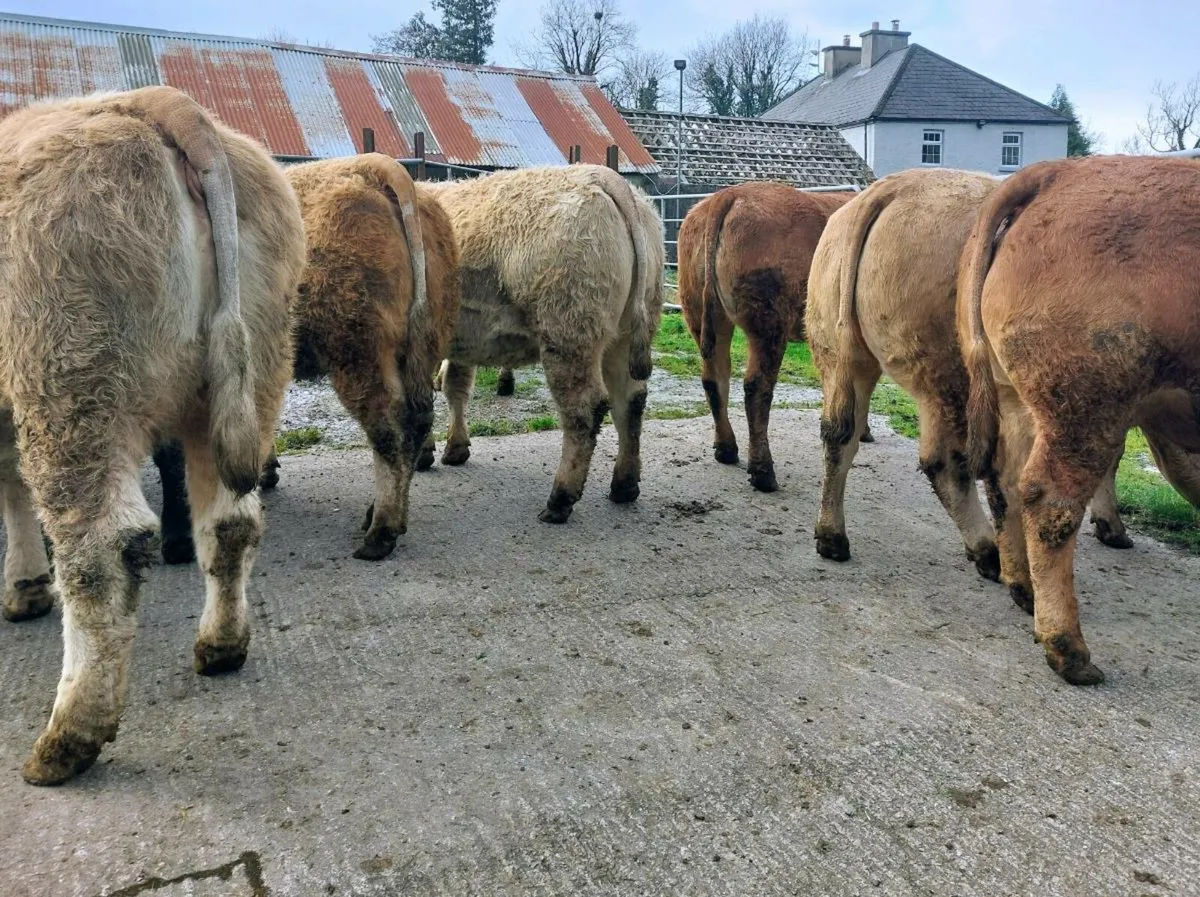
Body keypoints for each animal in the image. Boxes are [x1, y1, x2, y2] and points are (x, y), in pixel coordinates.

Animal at [0, 86, 305, 784]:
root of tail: (160, 102)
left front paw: (24, 585)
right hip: (244, 378)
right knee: (230, 522)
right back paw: (220, 646)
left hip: (70, 383)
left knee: (100, 551)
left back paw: (66, 740)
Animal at [420, 164, 664, 523]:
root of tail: (605, 177)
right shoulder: (460, 341)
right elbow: (455, 387)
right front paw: (455, 448)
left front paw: (424, 453)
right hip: (622, 335)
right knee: (630, 401)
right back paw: (624, 484)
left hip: (568, 331)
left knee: (584, 409)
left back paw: (560, 499)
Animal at [677, 183, 858, 492]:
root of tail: (728, 195)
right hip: (770, 321)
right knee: (757, 388)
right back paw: (763, 471)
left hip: (700, 309)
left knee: (715, 377)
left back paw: (726, 448)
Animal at [960, 154, 1200, 685]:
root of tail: (1059, 171)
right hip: (1088, 401)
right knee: (1050, 500)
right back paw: (1070, 652)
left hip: (1019, 399)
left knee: (1004, 479)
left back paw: (1023, 590)